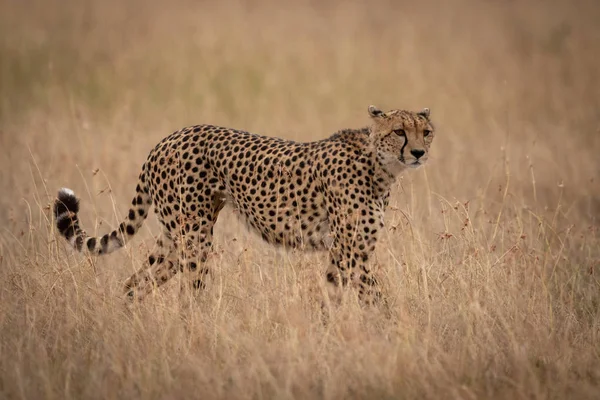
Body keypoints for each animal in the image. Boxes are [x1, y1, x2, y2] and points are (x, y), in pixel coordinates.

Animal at [55, 105, 436, 304]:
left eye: (426, 131)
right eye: (400, 131)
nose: (419, 152)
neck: (380, 165)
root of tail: (167, 138)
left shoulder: (343, 252)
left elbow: (333, 295)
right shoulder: (352, 251)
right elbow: (376, 299)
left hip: (174, 236)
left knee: (136, 282)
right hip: (194, 235)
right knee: (189, 292)